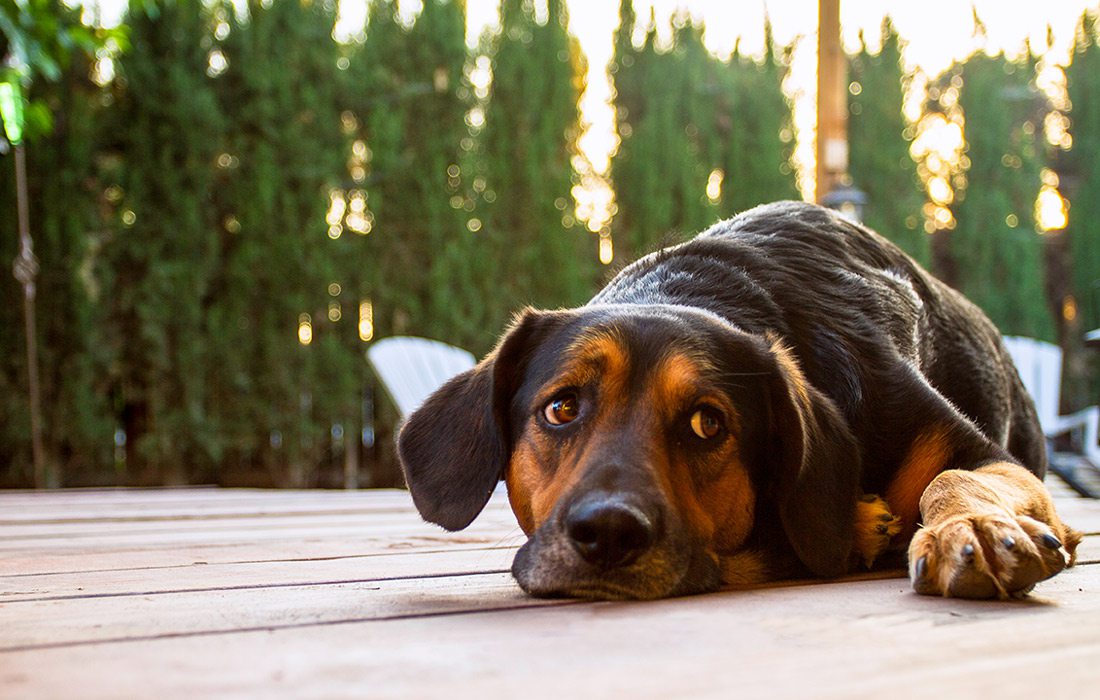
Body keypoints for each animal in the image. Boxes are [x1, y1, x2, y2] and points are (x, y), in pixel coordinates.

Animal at [398, 199, 1082, 598]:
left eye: (708, 424)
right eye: (561, 408)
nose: (607, 533)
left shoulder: (983, 455)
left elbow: (955, 477)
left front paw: (973, 527)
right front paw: (859, 523)